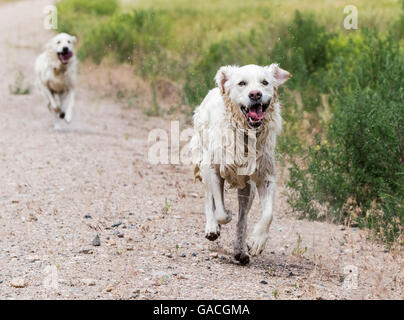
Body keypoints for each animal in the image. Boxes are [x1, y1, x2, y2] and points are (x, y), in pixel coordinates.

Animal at [192, 63, 290, 264]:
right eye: (242, 83)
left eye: (265, 82)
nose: (255, 94)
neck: (246, 133)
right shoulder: (214, 169)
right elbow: (220, 211)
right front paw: (221, 220)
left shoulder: (264, 177)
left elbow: (268, 214)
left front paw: (257, 242)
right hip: (205, 162)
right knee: (209, 197)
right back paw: (212, 227)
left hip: (247, 187)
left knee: (243, 218)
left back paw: (241, 250)